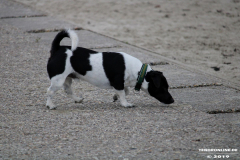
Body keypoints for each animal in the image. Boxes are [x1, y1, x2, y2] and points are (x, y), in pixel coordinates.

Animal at [46, 29, 174, 109]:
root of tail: (57, 49)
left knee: (67, 90)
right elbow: (123, 94)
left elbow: (125, 91)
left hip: (67, 78)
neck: (138, 72)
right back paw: (50, 105)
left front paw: (115, 97)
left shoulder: (121, 84)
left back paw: (77, 99)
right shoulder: (118, 83)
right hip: (58, 80)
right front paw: (125, 104)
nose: (172, 101)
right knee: (50, 91)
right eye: (163, 88)